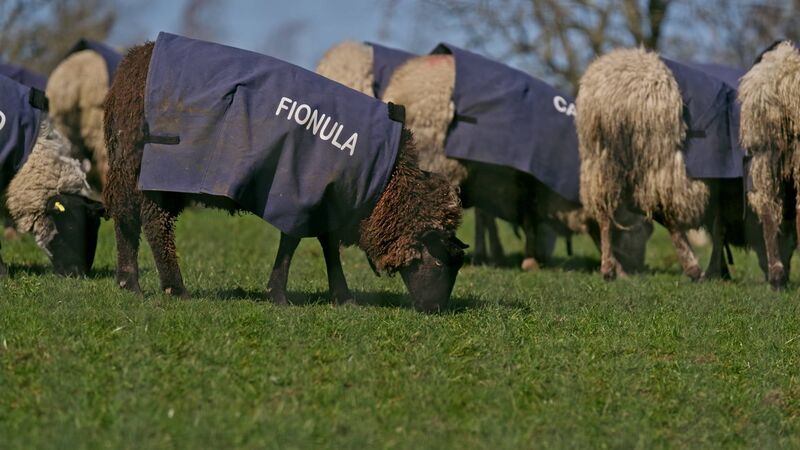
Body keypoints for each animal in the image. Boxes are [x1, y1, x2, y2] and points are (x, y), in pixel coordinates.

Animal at [103, 33, 466, 312]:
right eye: (441, 261)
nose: (435, 310)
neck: (385, 182)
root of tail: (130, 66)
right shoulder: (302, 193)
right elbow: (293, 243)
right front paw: (279, 296)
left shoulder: (326, 200)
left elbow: (327, 245)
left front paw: (342, 297)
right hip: (162, 167)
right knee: (154, 222)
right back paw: (174, 288)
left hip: (128, 167)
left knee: (126, 217)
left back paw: (128, 282)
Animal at [380, 43, 652, 273]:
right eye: (644, 230)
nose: (637, 269)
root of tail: (402, 84)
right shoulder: (528, 179)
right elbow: (529, 218)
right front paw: (529, 260)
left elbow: (503, 217)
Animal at [577, 47, 788, 281]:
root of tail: (609, 96)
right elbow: (725, 224)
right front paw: (719, 270)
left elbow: (718, 225)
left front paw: (720, 270)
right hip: (662, 157)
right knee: (667, 213)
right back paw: (693, 268)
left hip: (601, 161)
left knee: (604, 212)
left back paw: (609, 269)